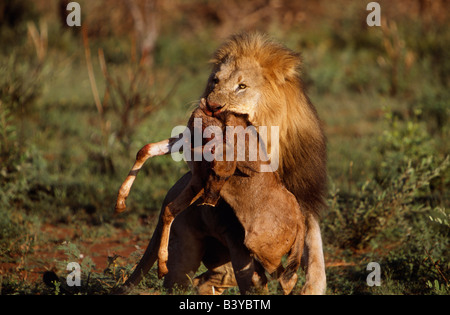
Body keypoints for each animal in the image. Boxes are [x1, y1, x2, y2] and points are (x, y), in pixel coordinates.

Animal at [114, 32, 326, 296]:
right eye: (215, 81)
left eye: (242, 86)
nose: (212, 106)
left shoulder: (303, 196)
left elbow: (313, 247)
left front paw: (312, 285)